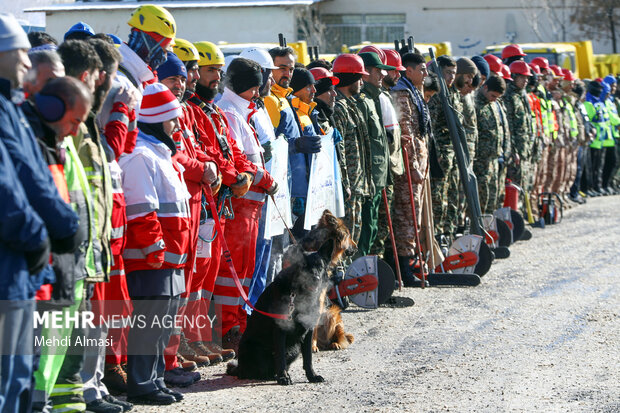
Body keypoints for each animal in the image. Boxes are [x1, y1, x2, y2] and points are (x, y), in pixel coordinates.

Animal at [228, 238, 334, 384]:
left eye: (320, 266)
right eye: (304, 266)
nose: (316, 279)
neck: (299, 294)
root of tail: (239, 368)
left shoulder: (308, 331)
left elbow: (308, 358)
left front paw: (312, 376)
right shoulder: (280, 330)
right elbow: (280, 357)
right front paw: (283, 377)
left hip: (294, 350)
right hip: (255, 350)